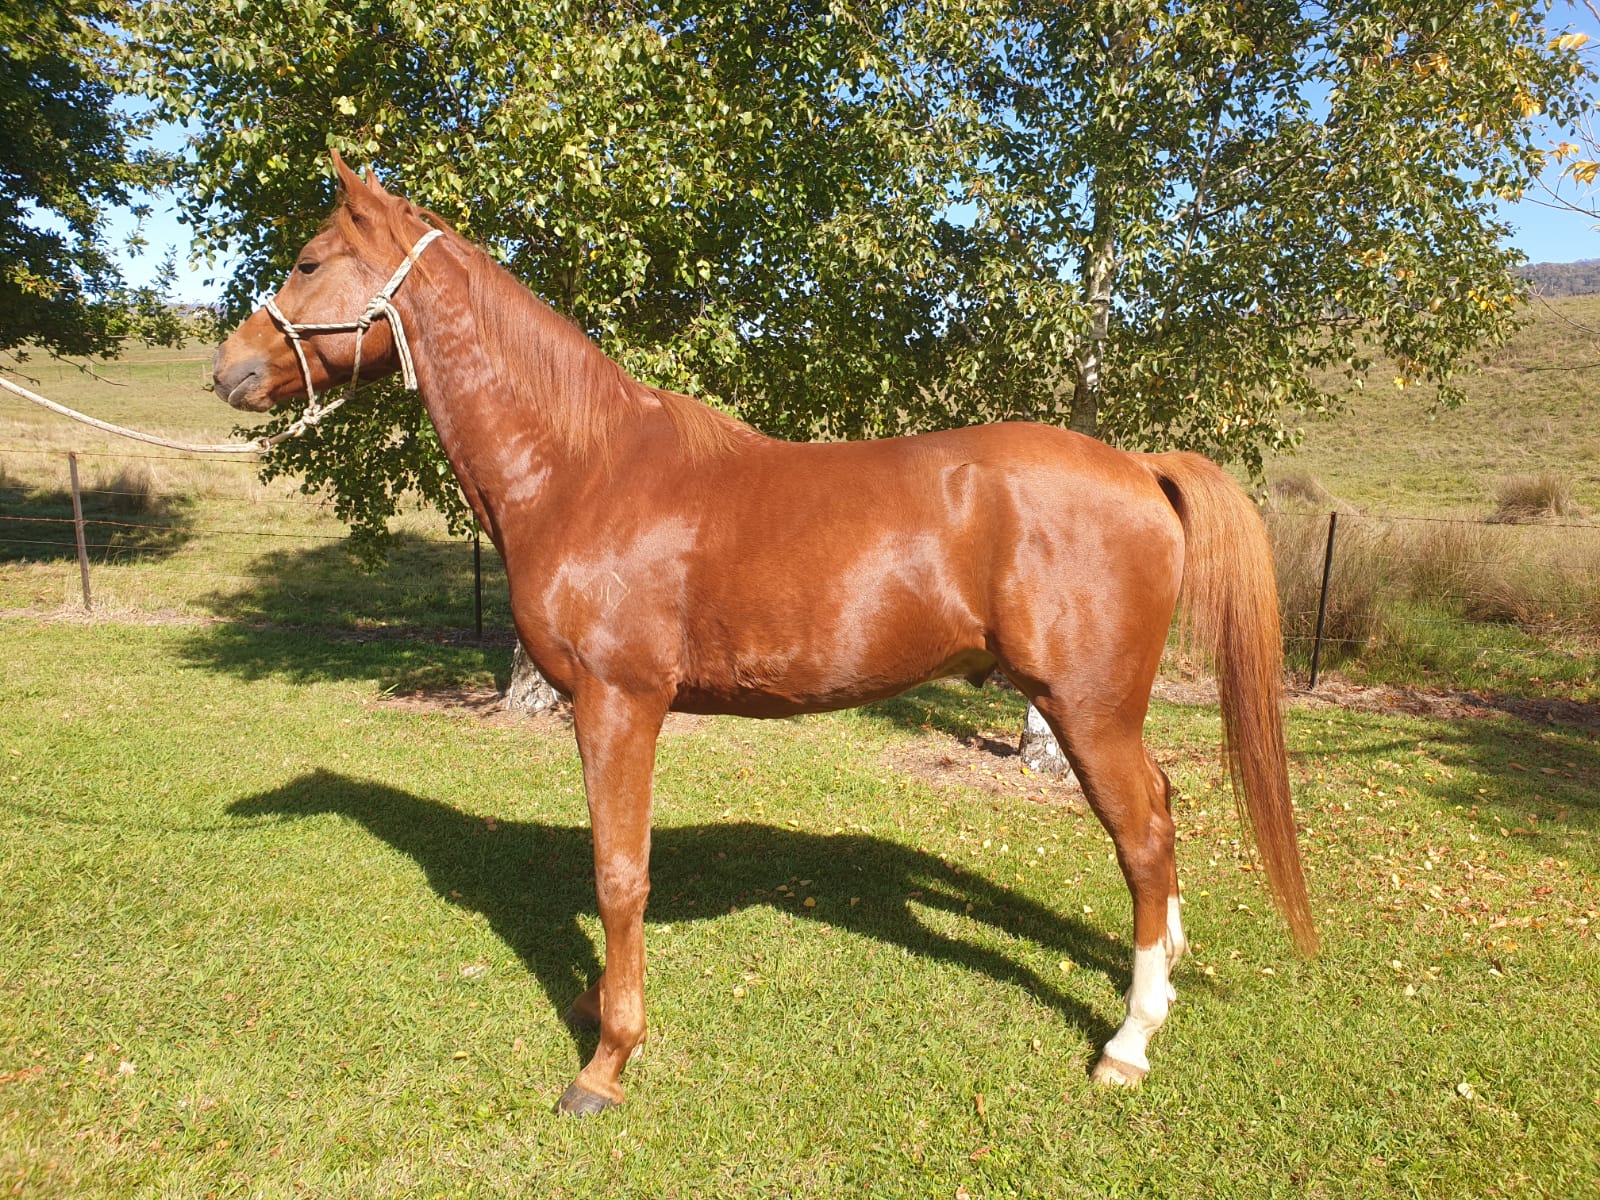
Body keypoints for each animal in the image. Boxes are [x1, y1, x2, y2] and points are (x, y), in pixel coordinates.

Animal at [212, 153, 1317, 1116]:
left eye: (307, 261)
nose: (228, 367)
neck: (584, 470)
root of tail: (1140, 467)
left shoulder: (620, 704)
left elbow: (619, 876)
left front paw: (607, 1060)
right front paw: (595, 1005)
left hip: (1085, 710)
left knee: (1144, 835)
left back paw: (1129, 1040)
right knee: (1160, 816)